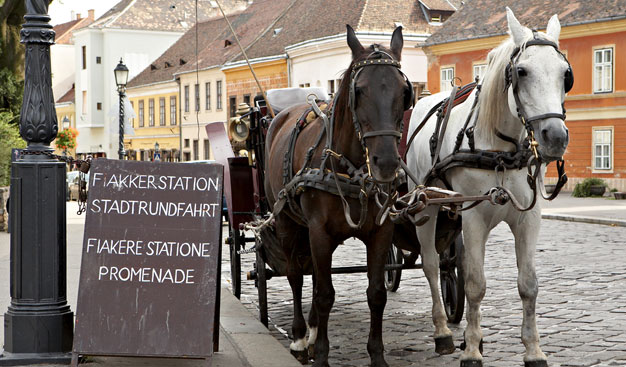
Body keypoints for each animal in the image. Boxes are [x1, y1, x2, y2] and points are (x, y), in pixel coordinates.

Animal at [262, 25, 410, 367]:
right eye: (361, 91)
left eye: (403, 92)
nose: (386, 163)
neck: (352, 171)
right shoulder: (319, 230)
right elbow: (324, 294)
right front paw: (321, 354)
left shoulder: (381, 231)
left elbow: (375, 294)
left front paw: (377, 356)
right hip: (288, 223)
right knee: (296, 276)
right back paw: (301, 337)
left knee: (315, 276)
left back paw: (314, 329)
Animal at [404, 8, 572, 367]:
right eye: (521, 72)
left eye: (566, 74)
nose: (555, 136)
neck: (500, 151)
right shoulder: (474, 218)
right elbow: (475, 284)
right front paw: (470, 350)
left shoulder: (528, 218)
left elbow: (528, 284)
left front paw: (533, 349)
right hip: (425, 207)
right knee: (431, 265)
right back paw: (443, 332)